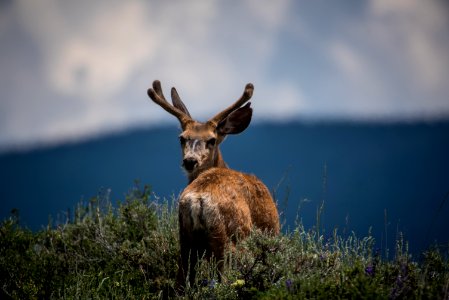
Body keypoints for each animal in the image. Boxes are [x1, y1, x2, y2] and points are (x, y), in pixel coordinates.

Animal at [147, 80, 278, 288]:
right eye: (182, 138)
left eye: (211, 139)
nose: (190, 161)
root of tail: (197, 200)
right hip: (228, 240)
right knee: (224, 280)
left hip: (185, 238)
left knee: (181, 282)